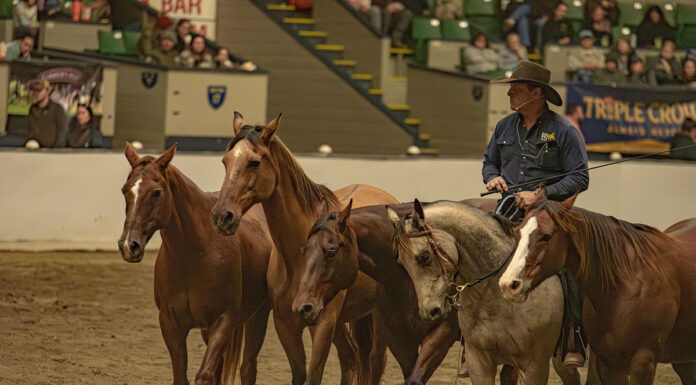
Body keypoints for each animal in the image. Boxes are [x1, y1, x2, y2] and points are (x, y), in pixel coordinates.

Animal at [118, 143, 274, 384]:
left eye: (157, 192)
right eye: (125, 190)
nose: (128, 245)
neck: (194, 254)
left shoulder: (224, 321)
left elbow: (204, 375)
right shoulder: (171, 324)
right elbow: (181, 375)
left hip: (258, 315)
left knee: (248, 366)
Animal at [209, 112, 400, 384]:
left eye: (254, 162)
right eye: (225, 161)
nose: (222, 216)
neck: (298, 262)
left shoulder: (323, 324)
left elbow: (314, 375)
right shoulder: (285, 324)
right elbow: (299, 373)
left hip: (376, 317)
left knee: (374, 361)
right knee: (351, 357)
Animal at [292, 201, 520, 384]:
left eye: (331, 251)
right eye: (303, 250)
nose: (302, 306)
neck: (406, 282)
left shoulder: (442, 333)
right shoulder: (400, 339)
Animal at [500, 184, 696, 382]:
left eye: (546, 236)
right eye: (517, 232)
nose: (509, 284)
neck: (624, 285)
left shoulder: (643, 364)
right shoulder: (609, 365)